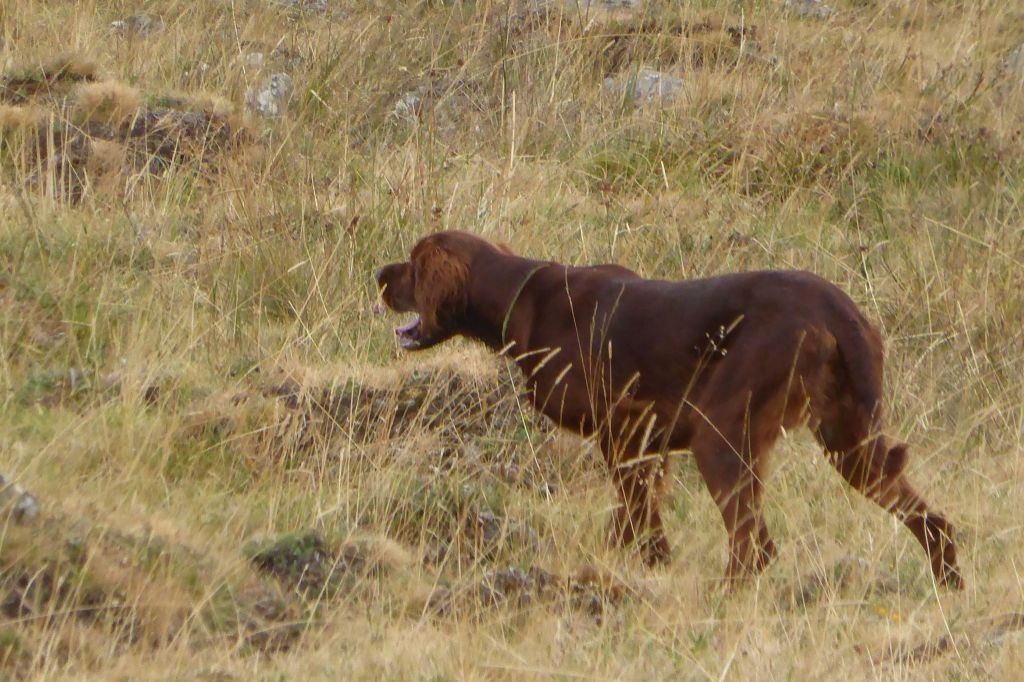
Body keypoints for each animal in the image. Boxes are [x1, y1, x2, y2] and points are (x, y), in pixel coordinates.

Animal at [374, 231, 958, 585]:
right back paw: (948, 583)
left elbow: (637, 515)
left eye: (412, 265)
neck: (525, 296)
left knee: (754, 546)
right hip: (850, 442)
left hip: (720, 436)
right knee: (933, 520)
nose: (378, 273)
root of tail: (837, 309)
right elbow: (632, 519)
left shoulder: (624, 433)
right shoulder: (647, 444)